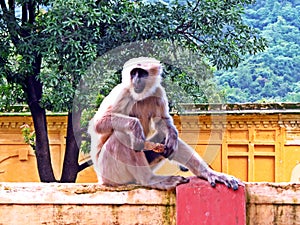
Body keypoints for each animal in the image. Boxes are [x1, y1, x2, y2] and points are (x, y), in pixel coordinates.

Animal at [87, 56, 241, 190]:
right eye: (134, 73)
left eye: (141, 73)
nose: (135, 79)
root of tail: (101, 179)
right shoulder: (122, 91)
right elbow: (99, 123)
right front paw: (135, 126)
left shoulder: (158, 91)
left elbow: (163, 122)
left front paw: (172, 134)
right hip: (110, 172)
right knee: (123, 135)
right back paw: (149, 179)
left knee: (163, 138)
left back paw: (207, 173)